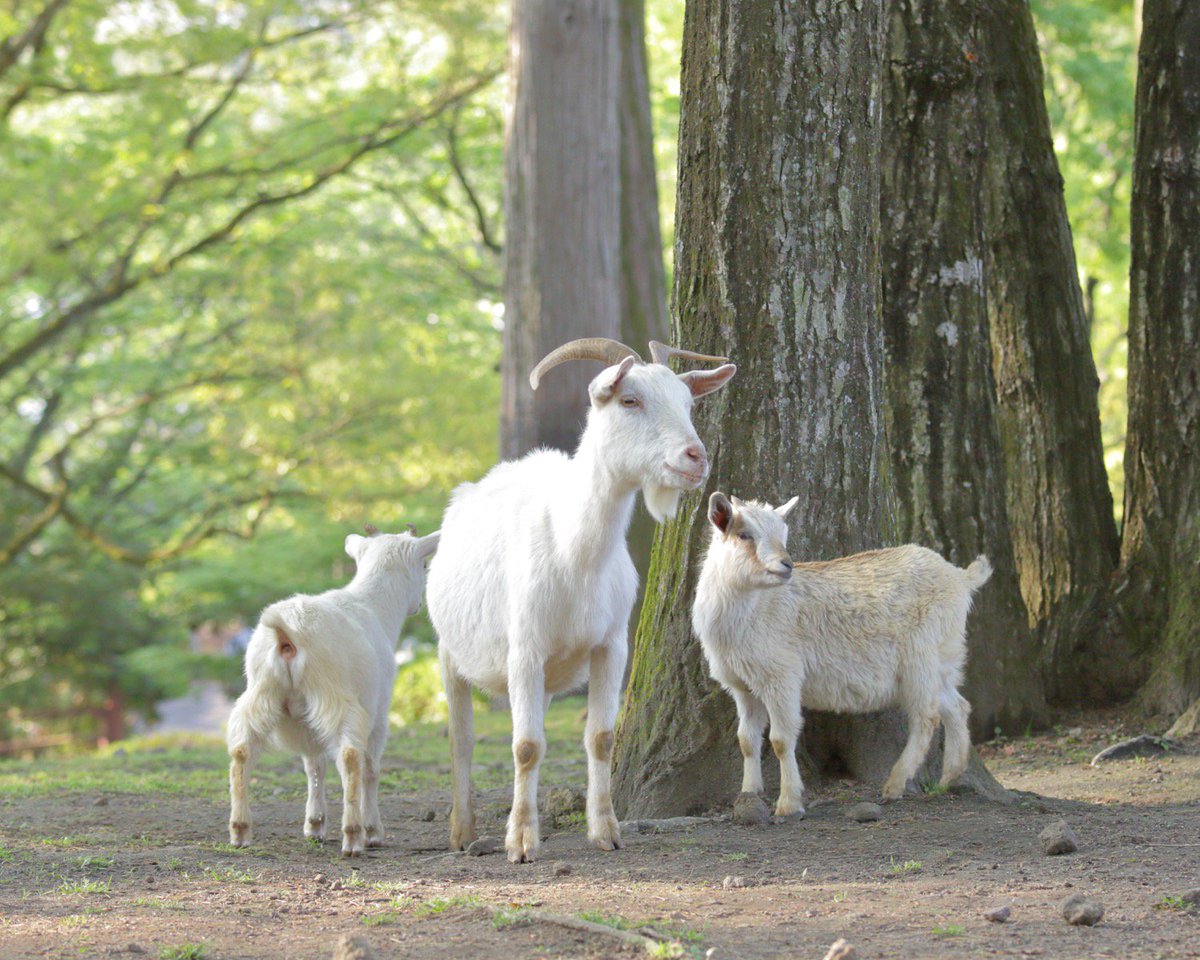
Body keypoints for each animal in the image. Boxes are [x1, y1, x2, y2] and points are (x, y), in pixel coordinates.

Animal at [226, 528, 439, 859]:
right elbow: (370, 768)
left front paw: (314, 826)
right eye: (425, 565)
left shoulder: (305, 720)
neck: (373, 607)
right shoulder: (379, 709)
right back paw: (353, 837)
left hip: (261, 690)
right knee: (350, 756)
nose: (417, 605)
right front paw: (373, 832)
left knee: (242, 749)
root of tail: (286, 631)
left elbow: (314, 765)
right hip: (335, 695)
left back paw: (240, 831)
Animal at [427, 336, 734, 864]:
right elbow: (525, 746)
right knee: (462, 740)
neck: (573, 553)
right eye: (629, 400)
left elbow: (601, 738)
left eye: (688, 403)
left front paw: (606, 831)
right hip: (451, 652)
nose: (695, 457)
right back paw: (462, 832)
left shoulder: (611, 645)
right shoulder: (524, 649)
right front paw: (521, 843)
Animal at [691, 494, 988, 816]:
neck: (753, 609)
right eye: (744, 535)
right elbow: (746, 740)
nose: (787, 565)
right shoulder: (742, 685)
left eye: (784, 535)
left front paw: (789, 803)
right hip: (942, 659)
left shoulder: (781, 675)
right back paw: (949, 777)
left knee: (926, 717)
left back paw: (895, 785)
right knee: (957, 706)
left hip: (920, 657)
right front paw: (749, 792)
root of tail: (960, 577)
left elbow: (781, 740)